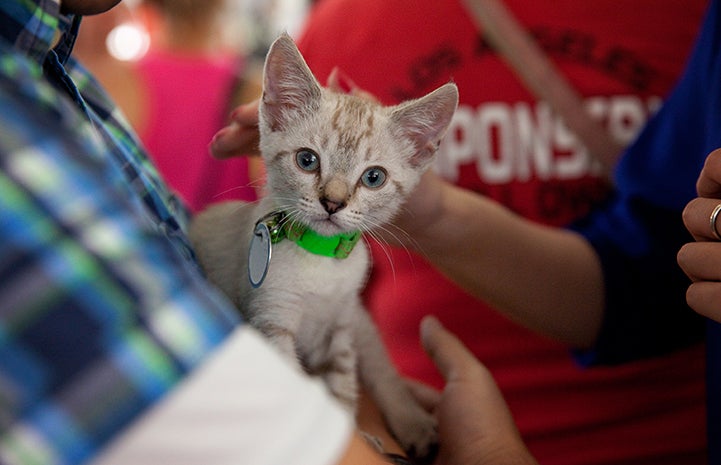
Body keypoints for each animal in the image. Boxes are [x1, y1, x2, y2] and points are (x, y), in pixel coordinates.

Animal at [188, 33, 452, 460]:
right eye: (307, 160)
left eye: (373, 177)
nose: (333, 202)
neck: (321, 259)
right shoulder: (272, 322)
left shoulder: (341, 328)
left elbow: (342, 391)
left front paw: (362, 434)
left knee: (381, 367)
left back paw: (415, 424)